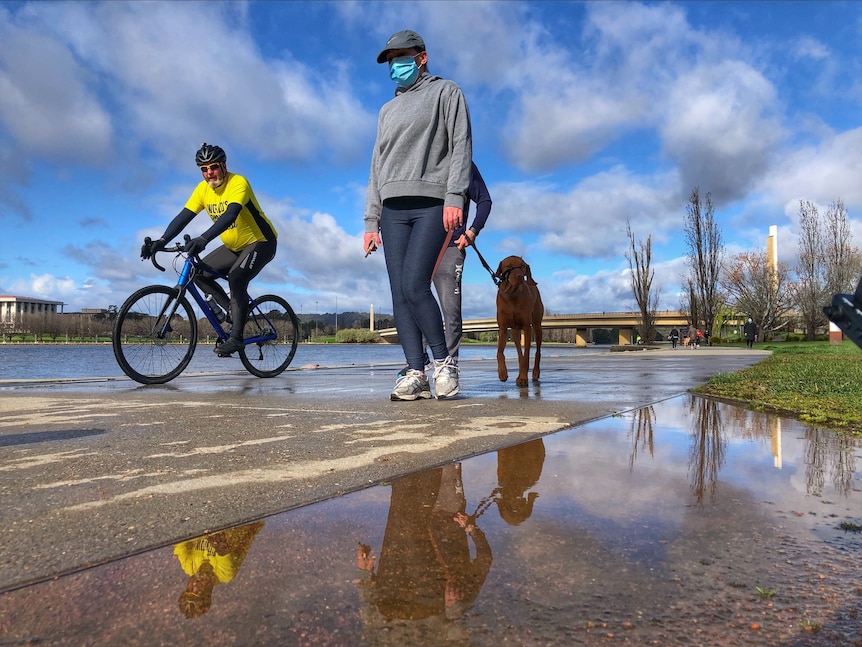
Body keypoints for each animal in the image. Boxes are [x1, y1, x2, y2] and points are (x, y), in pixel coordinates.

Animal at [496, 254, 544, 384]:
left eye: (522, 266)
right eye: (509, 266)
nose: (520, 276)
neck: (512, 294)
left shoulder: (527, 328)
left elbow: (526, 355)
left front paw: (523, 377)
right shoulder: (503, 328)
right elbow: (499, 352)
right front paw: (502, 372)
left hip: (537, 326)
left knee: (537, 352)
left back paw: (535, 373)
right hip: (514, 331)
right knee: (519, 352)